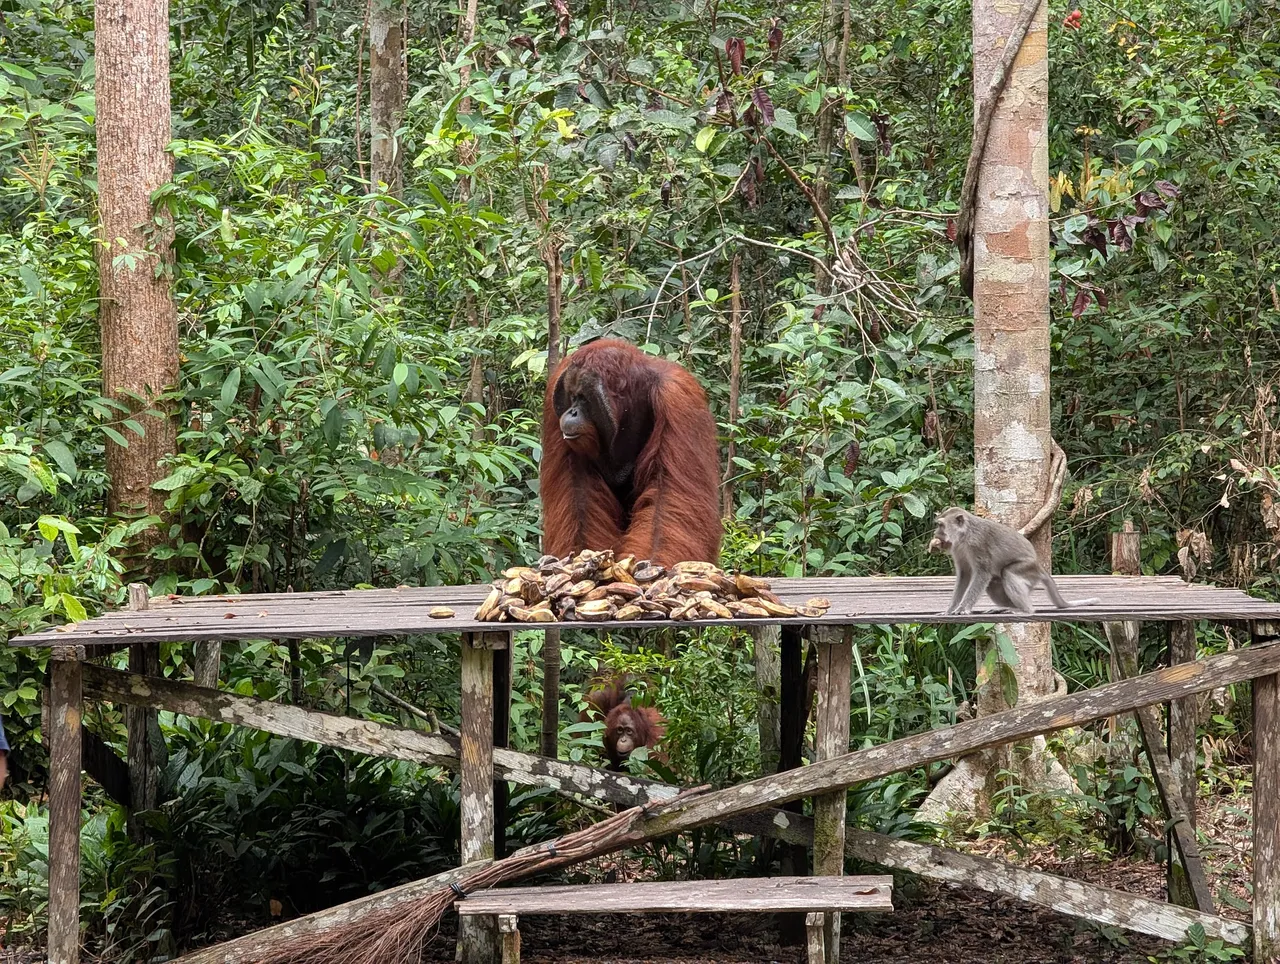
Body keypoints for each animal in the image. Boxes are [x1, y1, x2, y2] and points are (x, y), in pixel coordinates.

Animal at [929, 506, 1097, 615]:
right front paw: (950, 609)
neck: (964, 535)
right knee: (993, 583)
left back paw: (1025, 611)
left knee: (1008, 572)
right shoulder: (957, 549)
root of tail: (1039, 566)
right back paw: (1005, 607)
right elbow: (964, 575)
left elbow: (982, 574)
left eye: (941, 526)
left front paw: (963, 608)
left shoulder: (977, 545)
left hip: (1029, 569)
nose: (936, 534)